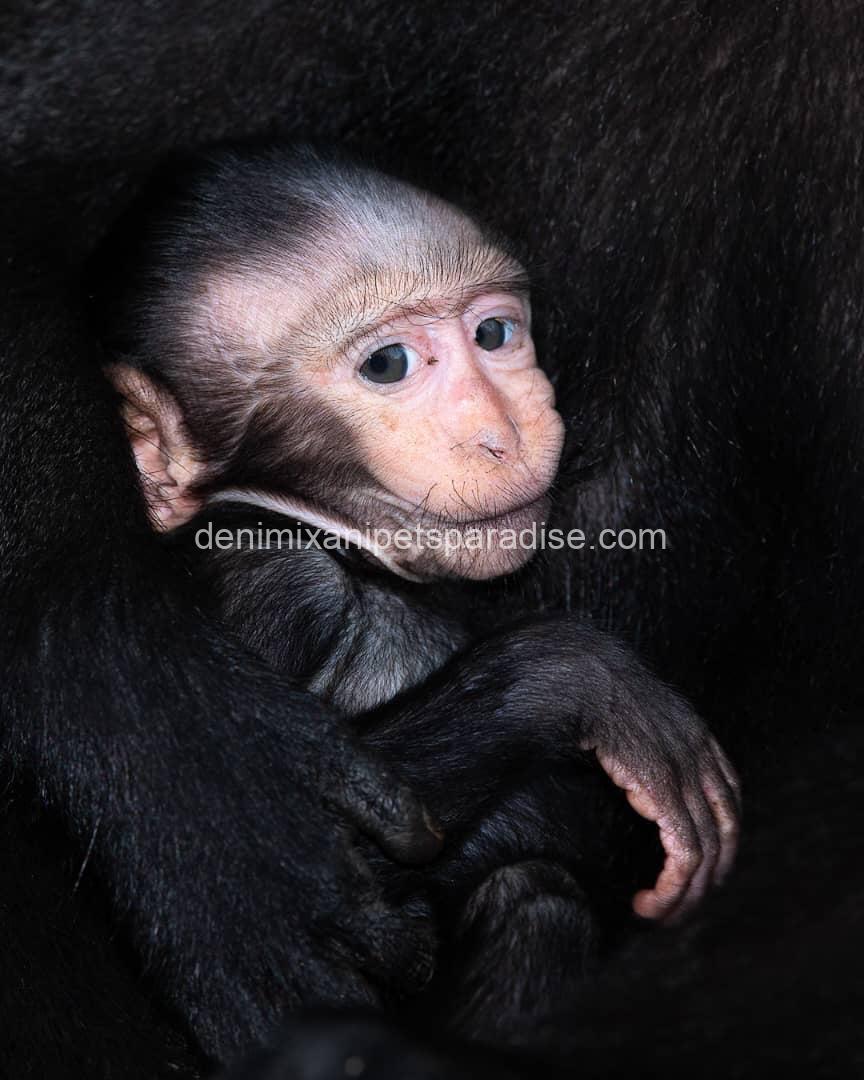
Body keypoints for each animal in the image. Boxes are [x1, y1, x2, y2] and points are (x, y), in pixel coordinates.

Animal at [89, 144, 740, 1040]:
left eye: (495, 334)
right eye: (388, 364)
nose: (503, 429)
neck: (343, 543)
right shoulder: (273, 588)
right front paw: (580, 676)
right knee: (533, 896)